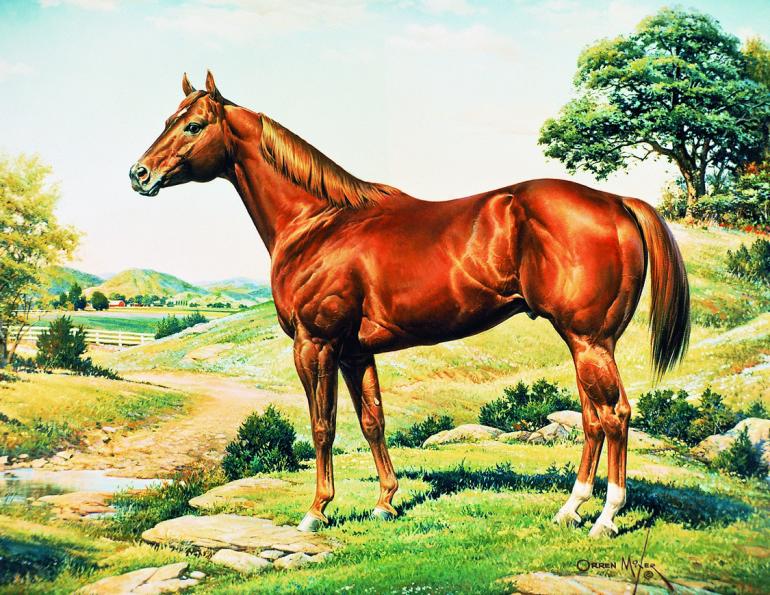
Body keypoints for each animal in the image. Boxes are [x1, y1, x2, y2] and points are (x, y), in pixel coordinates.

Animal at [130, 72, 690, 537]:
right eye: (167, 121)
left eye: (193, 126)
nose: (139, 174)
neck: (318, 223)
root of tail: (617, 203)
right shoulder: (356, 352)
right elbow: (373, 422)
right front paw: (385, 502)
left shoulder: (316, 345)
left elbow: (323, 426)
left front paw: (317, 511)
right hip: (585, 344)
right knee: (593, 418)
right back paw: (570, 509)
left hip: (589, 341)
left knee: (614, 415)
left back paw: (606, 517)